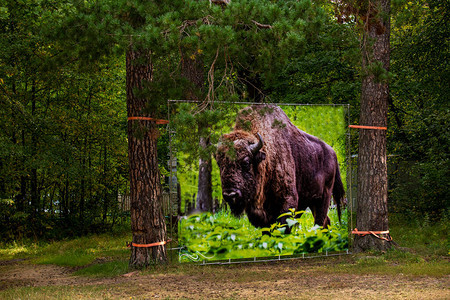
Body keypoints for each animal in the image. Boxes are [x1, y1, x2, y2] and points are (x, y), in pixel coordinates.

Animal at [214, 104, 344, 229]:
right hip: (312, 201)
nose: (230, 195)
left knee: (320, 222)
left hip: (324, 197)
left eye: (246, 162)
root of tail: (333, 153)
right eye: (219, 163)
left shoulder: (287, 202)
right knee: (326, 221)